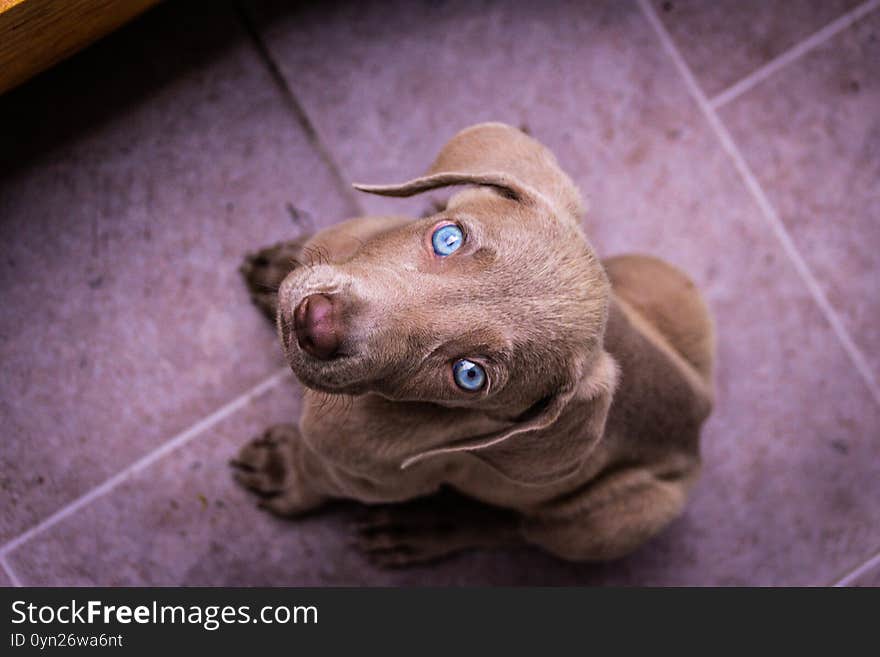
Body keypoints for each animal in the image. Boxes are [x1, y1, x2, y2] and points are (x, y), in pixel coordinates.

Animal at [234, 125, 716, 568]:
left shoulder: (367, 476)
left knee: (519, 528)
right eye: (449, 238)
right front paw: (281, 266)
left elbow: (318, 472)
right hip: (664, 281)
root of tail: (697, 429)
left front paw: (284, 470)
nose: (315, 324)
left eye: (469, 375)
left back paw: (426, 529)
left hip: (609, 522)